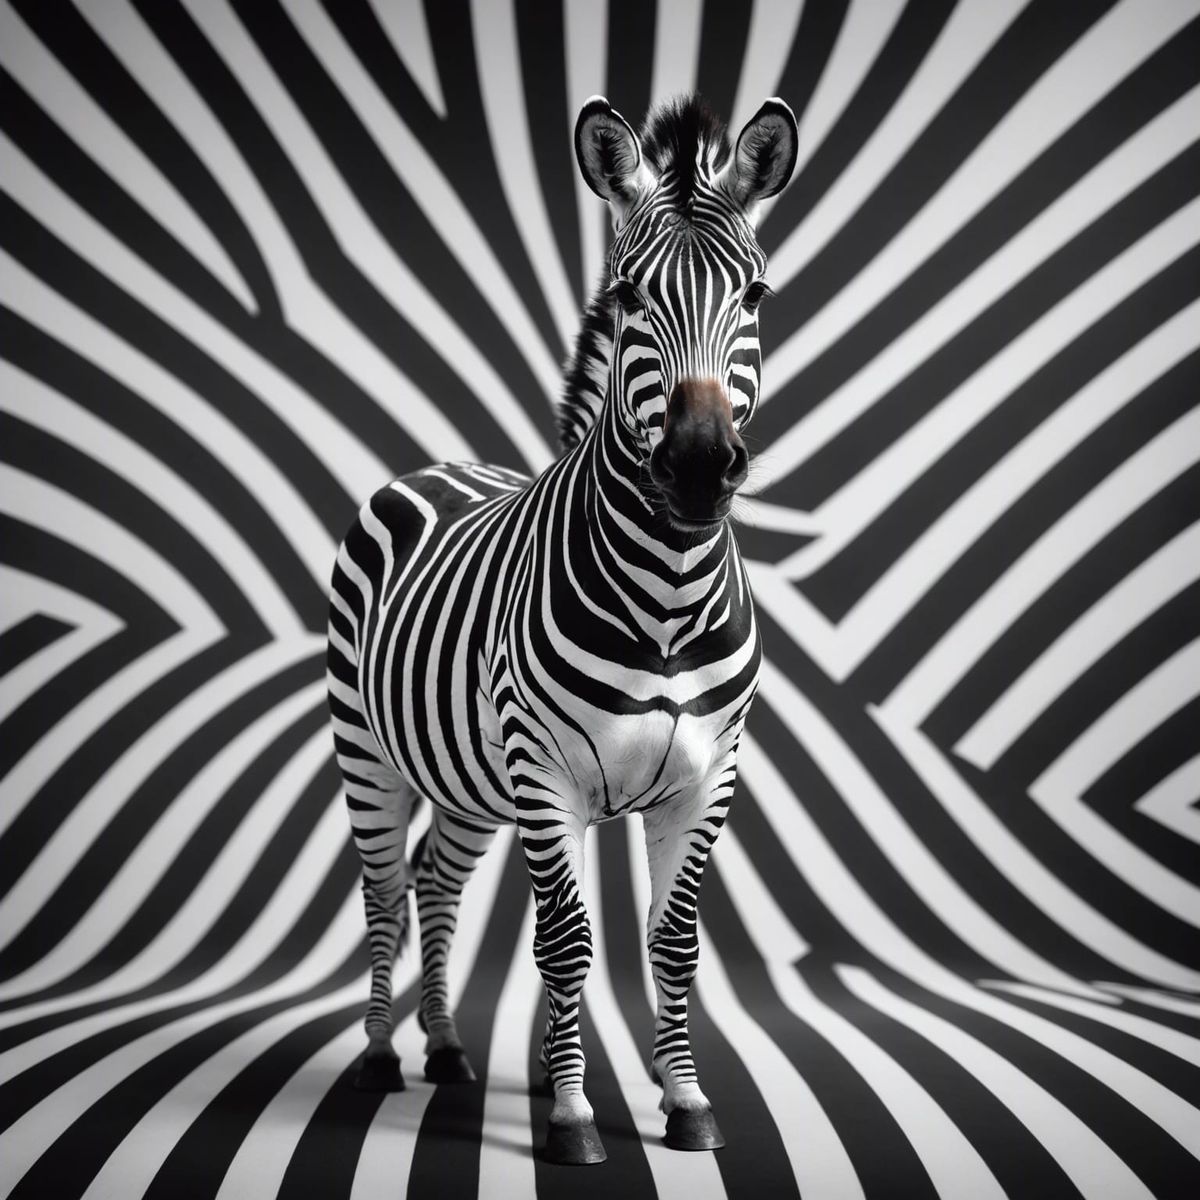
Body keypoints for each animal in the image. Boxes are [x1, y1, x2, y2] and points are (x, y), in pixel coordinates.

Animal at [326, 92, 798, 1165]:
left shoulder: (709, 778)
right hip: (367, 749)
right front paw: (577, 1116)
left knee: (435, 881)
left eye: (755, 297)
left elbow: (670, 942)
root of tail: (438, 464)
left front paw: (681, 1100)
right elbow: (568, 941)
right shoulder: (550, 779)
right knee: (383, 891)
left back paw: (448, 1047)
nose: (699, 466)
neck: (667, 600)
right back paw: (379, 1057)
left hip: (465, 777)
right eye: (627, 298)